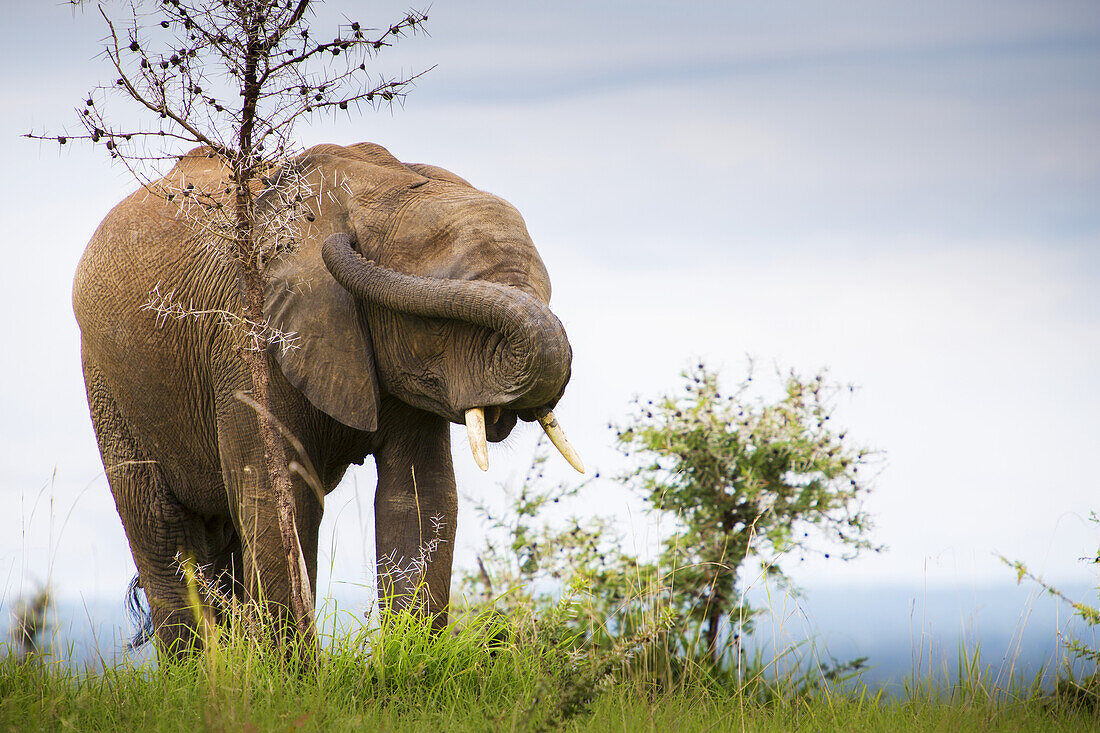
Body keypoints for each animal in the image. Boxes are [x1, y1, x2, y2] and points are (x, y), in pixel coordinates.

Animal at [76, 139, 585, 647]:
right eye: (441, 321)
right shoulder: (246, 341)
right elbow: (276, 501)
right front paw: (292, 669)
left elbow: (420, 496)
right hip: (108, 385)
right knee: (161, 531)